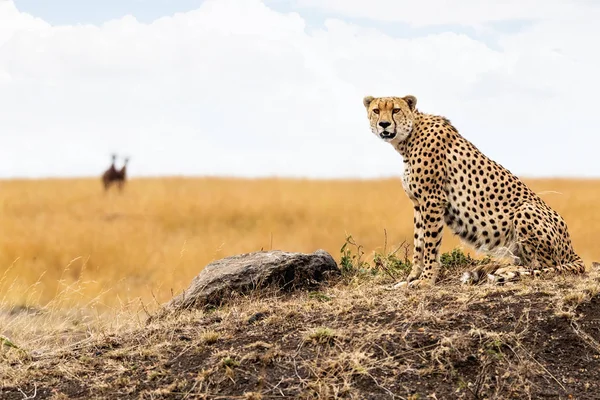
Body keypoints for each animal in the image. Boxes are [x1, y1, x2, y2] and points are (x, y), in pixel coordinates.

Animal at [364, 95, 588, 286]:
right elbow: (419, 243)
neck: (408, 138)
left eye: (395, 110)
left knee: (544, 266)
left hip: (526, 210)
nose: (384, 124)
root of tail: (571, 249)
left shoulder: (433, 200)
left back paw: (505, 272)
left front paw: (426, 280)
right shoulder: (419, 204)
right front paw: (412, 277)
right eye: (376, 110)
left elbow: (430, 244)